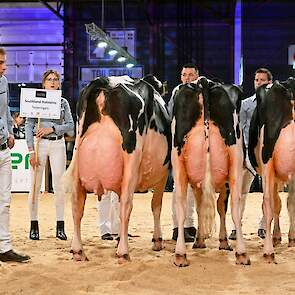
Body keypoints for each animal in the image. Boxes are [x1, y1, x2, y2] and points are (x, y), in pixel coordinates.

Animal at [65, 75, 171, 264]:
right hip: (131, 158)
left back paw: (78, 251)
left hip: (77, 155)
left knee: (77, 205)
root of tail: (106, 82)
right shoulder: (163, 174)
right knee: (127, 206)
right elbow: (156, 205)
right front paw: (157, 240)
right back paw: (123, 252)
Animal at [171, 77, 247, 268]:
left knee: (181, 205)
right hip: (235, 157)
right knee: (235, 205)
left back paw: (180, 254)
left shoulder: (197, 183)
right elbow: (220, 207)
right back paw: (242, 253)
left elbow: (201, 207)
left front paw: (200, 240)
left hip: (178, 162)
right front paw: (222, 241)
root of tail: (203, 81)